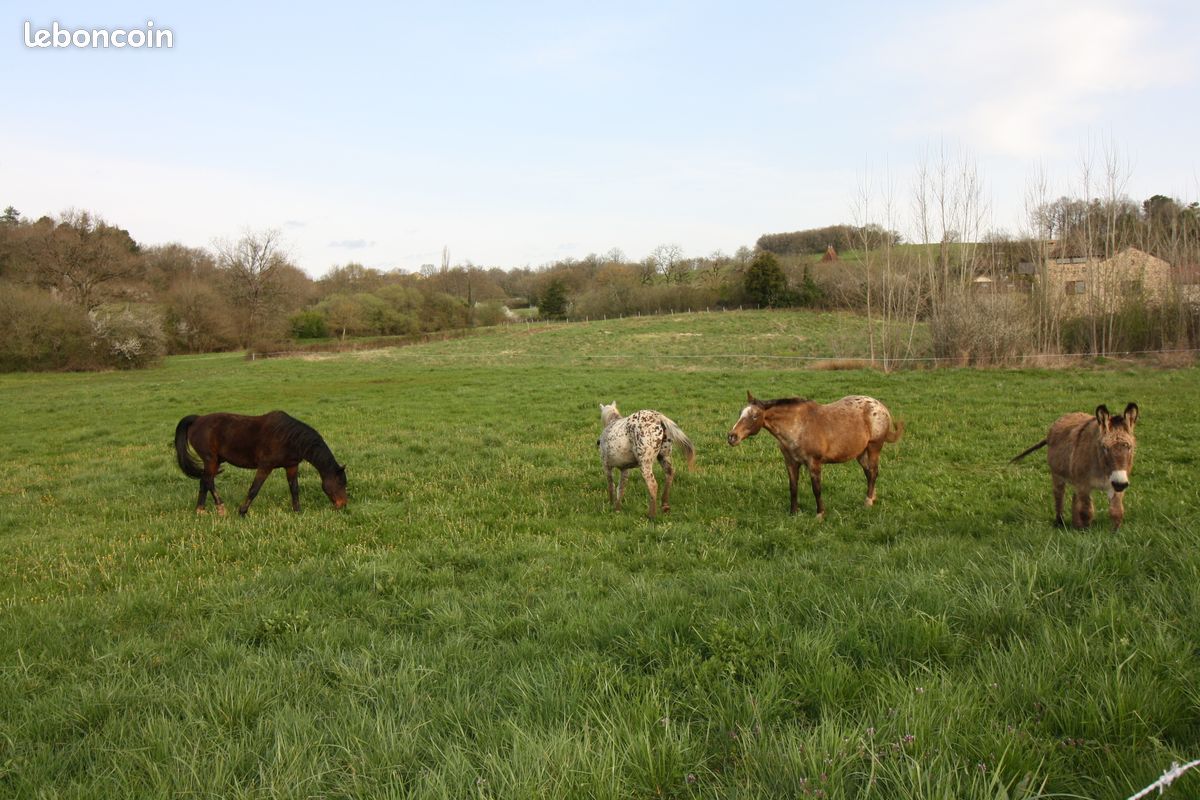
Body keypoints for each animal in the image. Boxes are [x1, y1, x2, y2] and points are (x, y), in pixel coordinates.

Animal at [174, 411, 347, 515]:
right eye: (340, 483)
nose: (343, 505)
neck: (288, 437)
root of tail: (198, 419)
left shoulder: (291, 466)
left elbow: (294, 489)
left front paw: (297, 511)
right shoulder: (265, 466)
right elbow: (254, 489)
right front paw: (242, 511)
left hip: (214, 461)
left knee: (204, 482)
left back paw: (200, 510)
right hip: (210, 459)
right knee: (208, 481)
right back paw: (221, 508)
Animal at [726, 392, 903, 519]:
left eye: (754, 416)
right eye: (740, 413)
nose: (732, 436)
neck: (798, 426)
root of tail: (881, 407)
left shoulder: (814, 463)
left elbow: (816, 489)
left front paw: (820, 514)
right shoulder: (791, 462)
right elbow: (793, 487)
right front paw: (793, 513)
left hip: (874, 447)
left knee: (873, 472)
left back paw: (868, 502)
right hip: (860, 453)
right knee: (868, 473)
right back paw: (872, 498)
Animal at [1010, 403, 1138, 530]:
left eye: (1129, 447)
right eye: (1104, 447)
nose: (1120, 483)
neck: (1102, 469)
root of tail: (1068, 415)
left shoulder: (1114, 487)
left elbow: (1116, 512)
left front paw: (1114, 532)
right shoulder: (1084, 486)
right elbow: (1087, 512)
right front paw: (1086, 532)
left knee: (1075, 498)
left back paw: (1076, 525)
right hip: (1057, 476)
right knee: (1059, 497)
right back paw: (1060, 523)